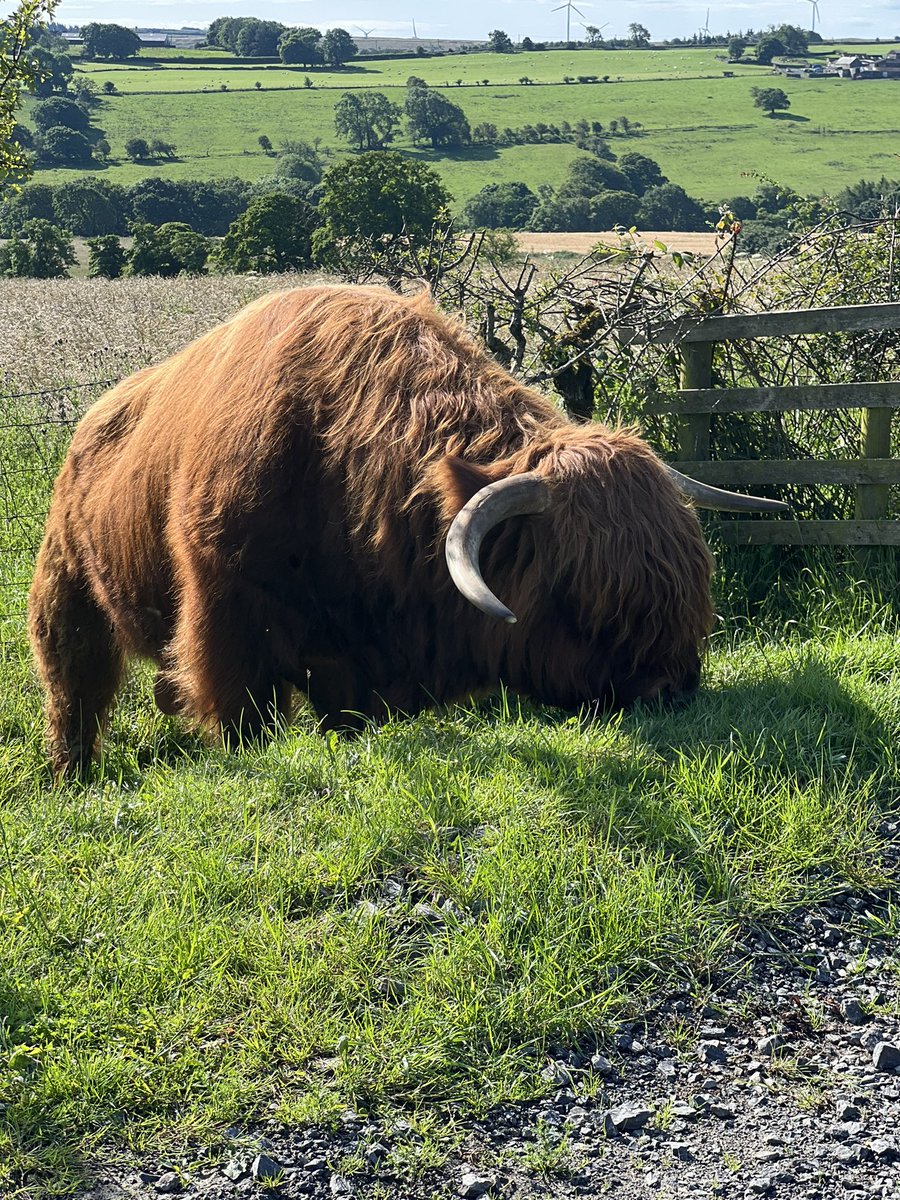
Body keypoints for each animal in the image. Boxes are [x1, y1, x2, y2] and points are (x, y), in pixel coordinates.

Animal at [28, 284, 786, 777]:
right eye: (588, 600)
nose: (674, 690)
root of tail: (89, 425)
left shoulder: (353, 664)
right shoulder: (228, 614)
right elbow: (243, 711)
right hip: (66, 588)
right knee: (75, 688)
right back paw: (73, 776)